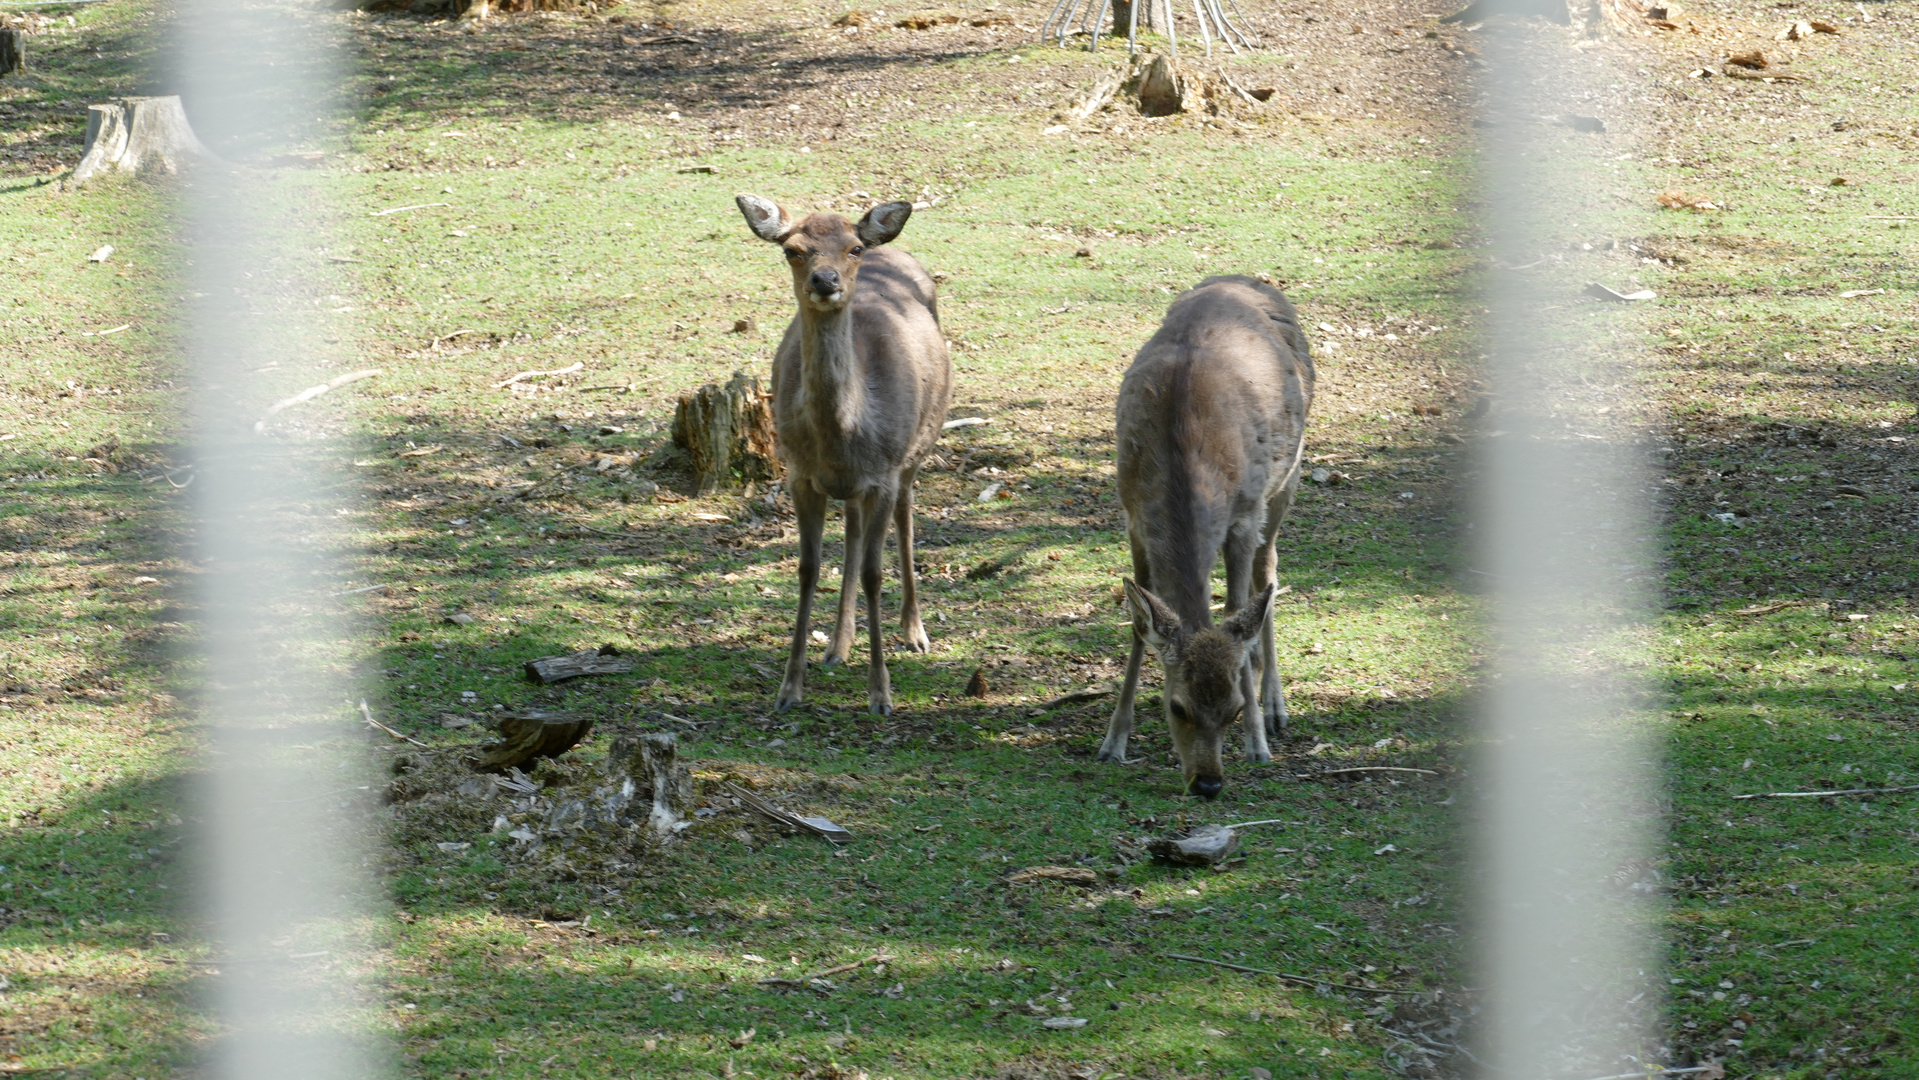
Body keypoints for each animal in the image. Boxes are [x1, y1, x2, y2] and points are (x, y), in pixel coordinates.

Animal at [733, 194, 951, 717]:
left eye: (853, 248)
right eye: (792, 249)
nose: (825, 280)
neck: (845, 432)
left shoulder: (884, 474)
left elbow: (874, 572)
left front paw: (881, 694)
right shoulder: (799, 474)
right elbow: (808, 569)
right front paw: (789, 687)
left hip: (915, 451)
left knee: (906, 515)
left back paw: (914, 631)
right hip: (853, 486)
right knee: (851, 530)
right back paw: (838, 644)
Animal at [1097, 278, 1320, 798]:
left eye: (1233, 710)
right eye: (1177, 706)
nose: (1208, 783)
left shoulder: (1244, 515)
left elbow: (1238, 605)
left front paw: (1257, 742)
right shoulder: (1133, 517)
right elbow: (1139, 625)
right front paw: (1113, 740)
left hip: (1286, 480)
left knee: (1268, 571)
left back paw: (1275, 705)